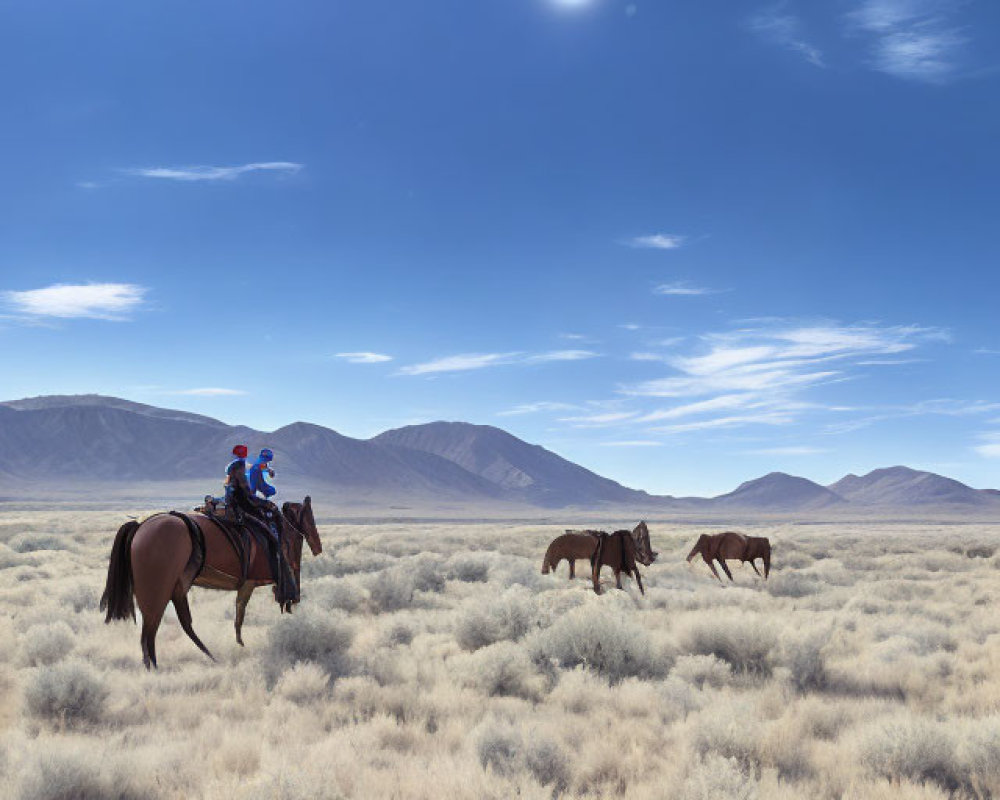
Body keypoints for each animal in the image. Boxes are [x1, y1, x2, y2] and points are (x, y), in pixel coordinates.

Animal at [100, 496, 322, 664]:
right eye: (310, 518)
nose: (318, 547)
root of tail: (140, 526)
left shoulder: (246, 585)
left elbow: (238, 615)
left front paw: (239, 645)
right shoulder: (249, 583)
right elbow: (240, 614)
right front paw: (240, 645)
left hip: (175, 588)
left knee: (176, 623)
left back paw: (208, 656)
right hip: (157, 592)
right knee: (151, 631)